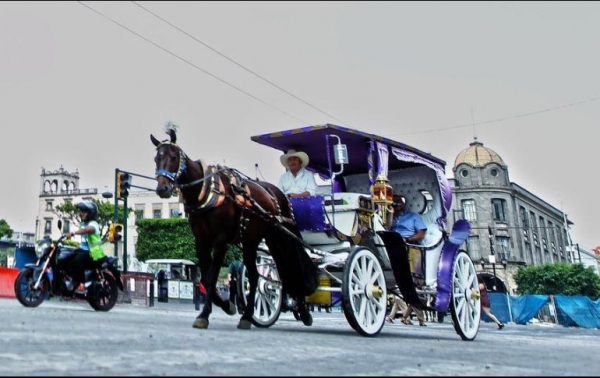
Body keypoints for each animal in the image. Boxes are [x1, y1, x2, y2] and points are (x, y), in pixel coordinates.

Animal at [151, 128, 318, 330]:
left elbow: (212, 276)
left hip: (280, 236)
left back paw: (295, 312)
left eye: (174, 157)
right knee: (259, 275)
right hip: (253, 241)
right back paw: (249, 316)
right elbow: (205, 279)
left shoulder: (221, 240)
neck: (208, 191)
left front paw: (204, 314)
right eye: (156, 158)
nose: (163, 188)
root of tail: (278, 194)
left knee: (291, 265)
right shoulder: (201, 240)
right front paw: (226, 305)